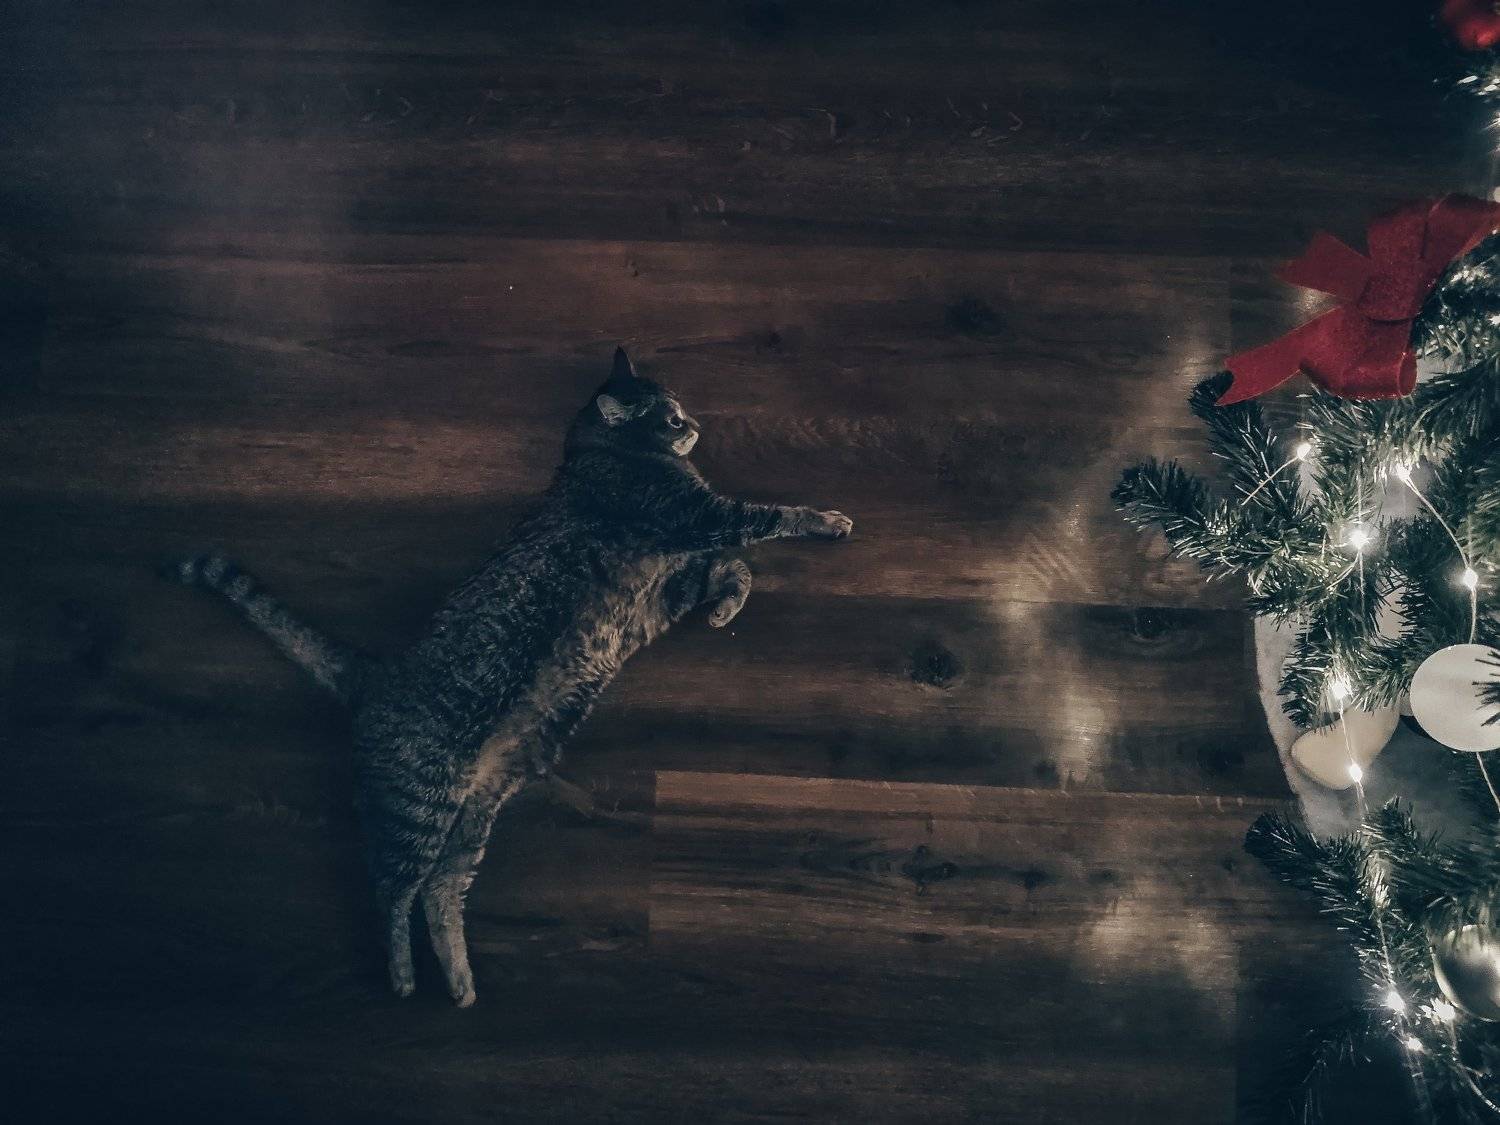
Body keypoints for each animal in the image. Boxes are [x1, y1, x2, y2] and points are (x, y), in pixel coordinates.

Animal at [171, 347, 853, 1006]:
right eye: (668, 417)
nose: (695, 425)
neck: (600, 455)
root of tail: (377, 676)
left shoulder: (674, 577)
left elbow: (734, 569)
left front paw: (723, 609)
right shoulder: (694, 517)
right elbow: (765, 519)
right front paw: (826, 520)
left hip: (476, 812)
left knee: (441, 890)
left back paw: (461, 982)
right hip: (421, 807)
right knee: (390, 889)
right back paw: (404, 976)